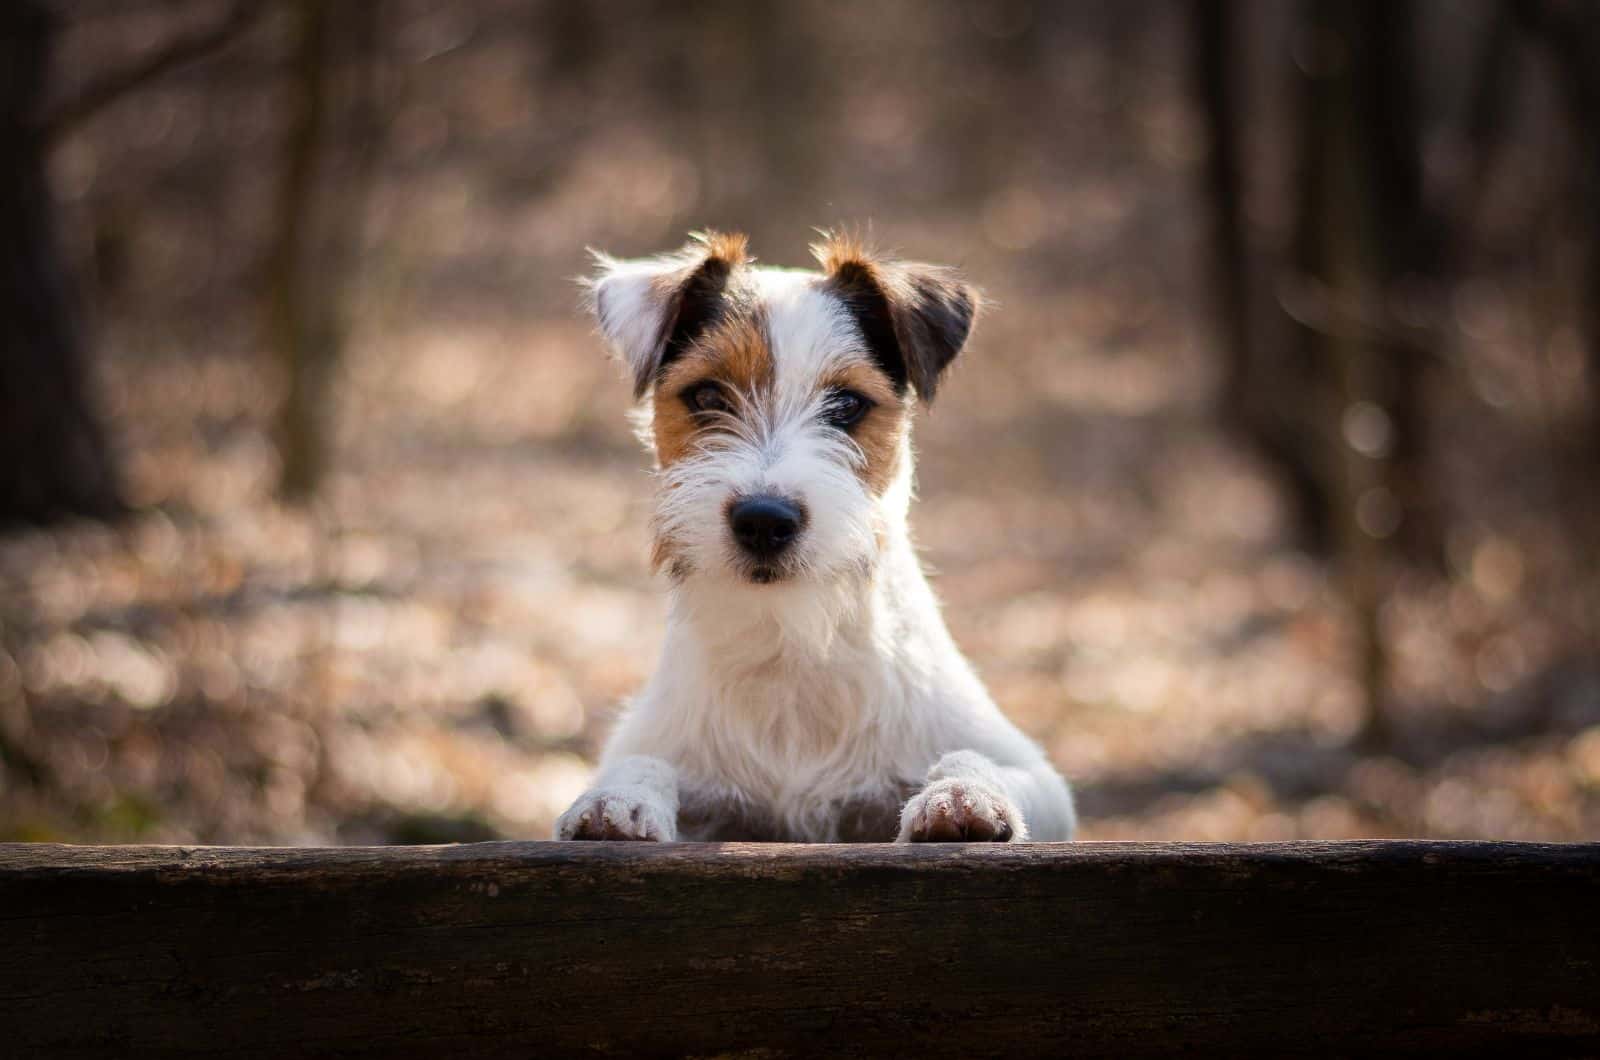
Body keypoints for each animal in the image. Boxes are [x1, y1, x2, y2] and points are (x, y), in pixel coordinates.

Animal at [553, 232, 1075, 845]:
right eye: (706, 396)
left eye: (846, 404)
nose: (763, 520)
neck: (790, 647)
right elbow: (645, 762)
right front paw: (618, 800)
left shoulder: (1043, 784)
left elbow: (974, 758)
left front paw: (962, 796)